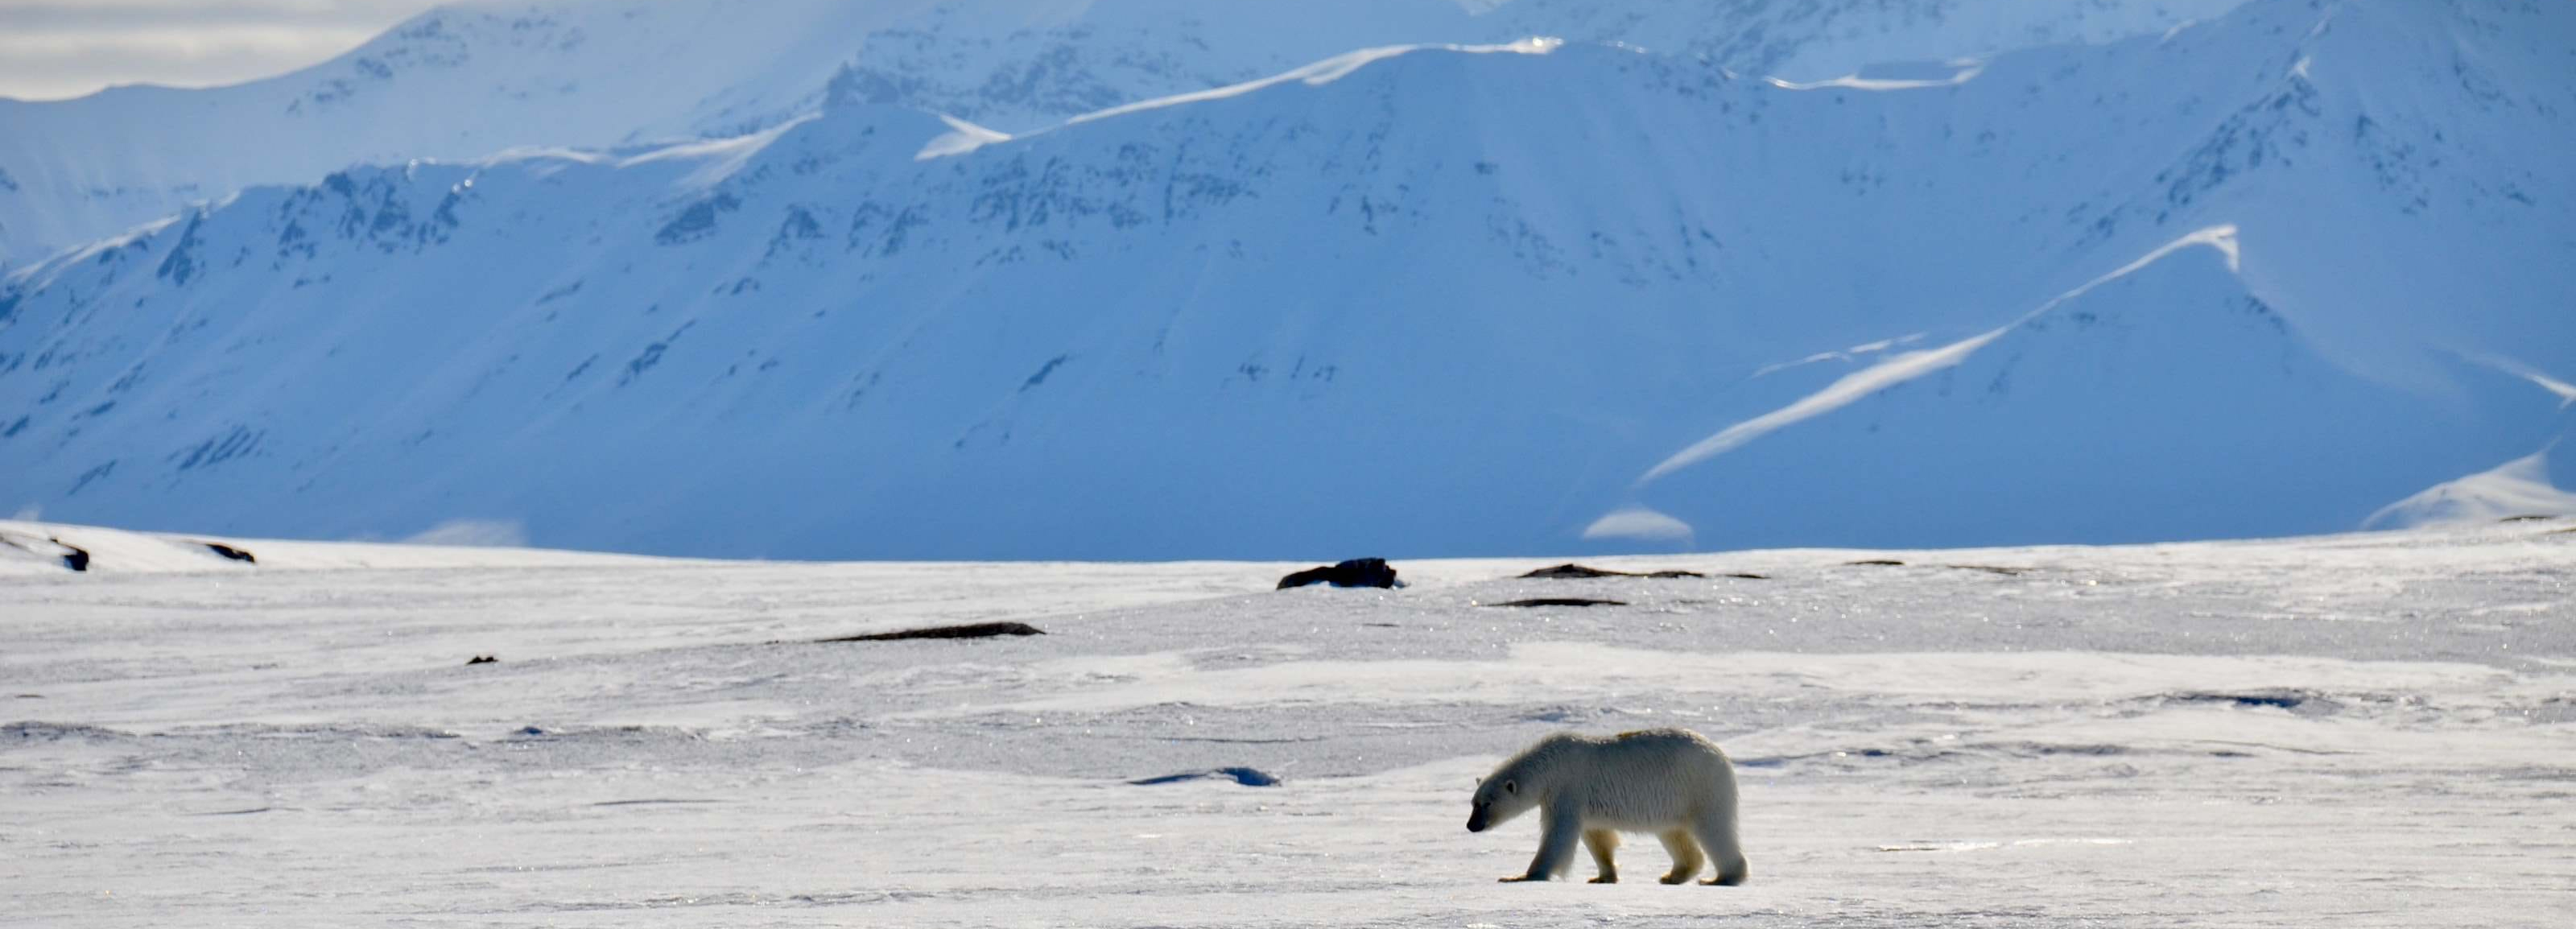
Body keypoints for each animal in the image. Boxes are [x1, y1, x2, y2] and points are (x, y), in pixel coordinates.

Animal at [1473, 725, 1752, 885]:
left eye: (1487, 804)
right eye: (1473, 802)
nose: (1471, 826)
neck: (1548, 765)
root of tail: (1722, 757)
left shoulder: (1566, 789)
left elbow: (1558, 836)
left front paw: (1521, 876)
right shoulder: (1584, 803)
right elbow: (1597, 837)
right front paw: (1603, 876)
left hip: (1700, 788)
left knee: (1714, 830)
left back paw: (1722, 878)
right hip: (1676, 802)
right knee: (1674, 834)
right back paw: (1673, 876)